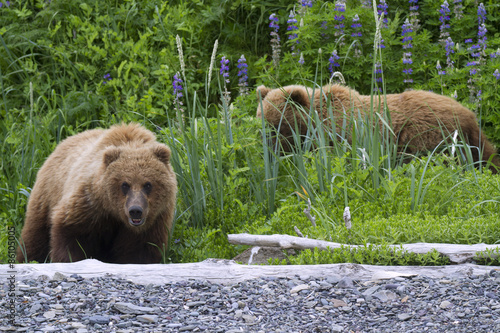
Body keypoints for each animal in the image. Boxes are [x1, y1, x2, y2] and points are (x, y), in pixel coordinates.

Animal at [16, 123, 178, 264]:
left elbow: (139, 251)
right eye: (125, 185)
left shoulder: (154, 221)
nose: (135, 210)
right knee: (35, 234)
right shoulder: (88, 206)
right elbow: (71, 238)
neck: (114, 213)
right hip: (47, 195)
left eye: (148, 184)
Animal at [258, 83, 500, 171]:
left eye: (276, 126)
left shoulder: (342, 137)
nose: (268, 152)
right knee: (486, 157)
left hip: (429, 136)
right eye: (262, 125)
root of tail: (469, 114)